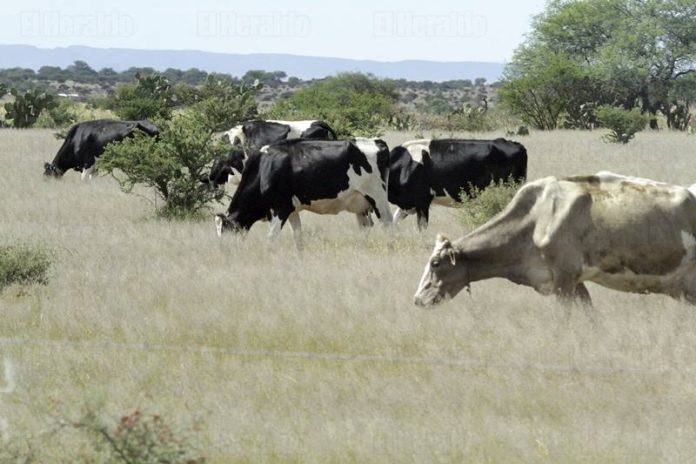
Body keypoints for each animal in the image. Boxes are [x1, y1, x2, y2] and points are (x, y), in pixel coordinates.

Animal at [215, 138, 392, 250]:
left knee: (388, 224)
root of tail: (377, 142)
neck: (264, 168)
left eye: (225, 231)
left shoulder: (280, 208)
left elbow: (271, 238)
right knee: (365, 228)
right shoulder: (292, 210)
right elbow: (298, 237)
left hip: (378, 198)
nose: (223, 251)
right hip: (360, 205)